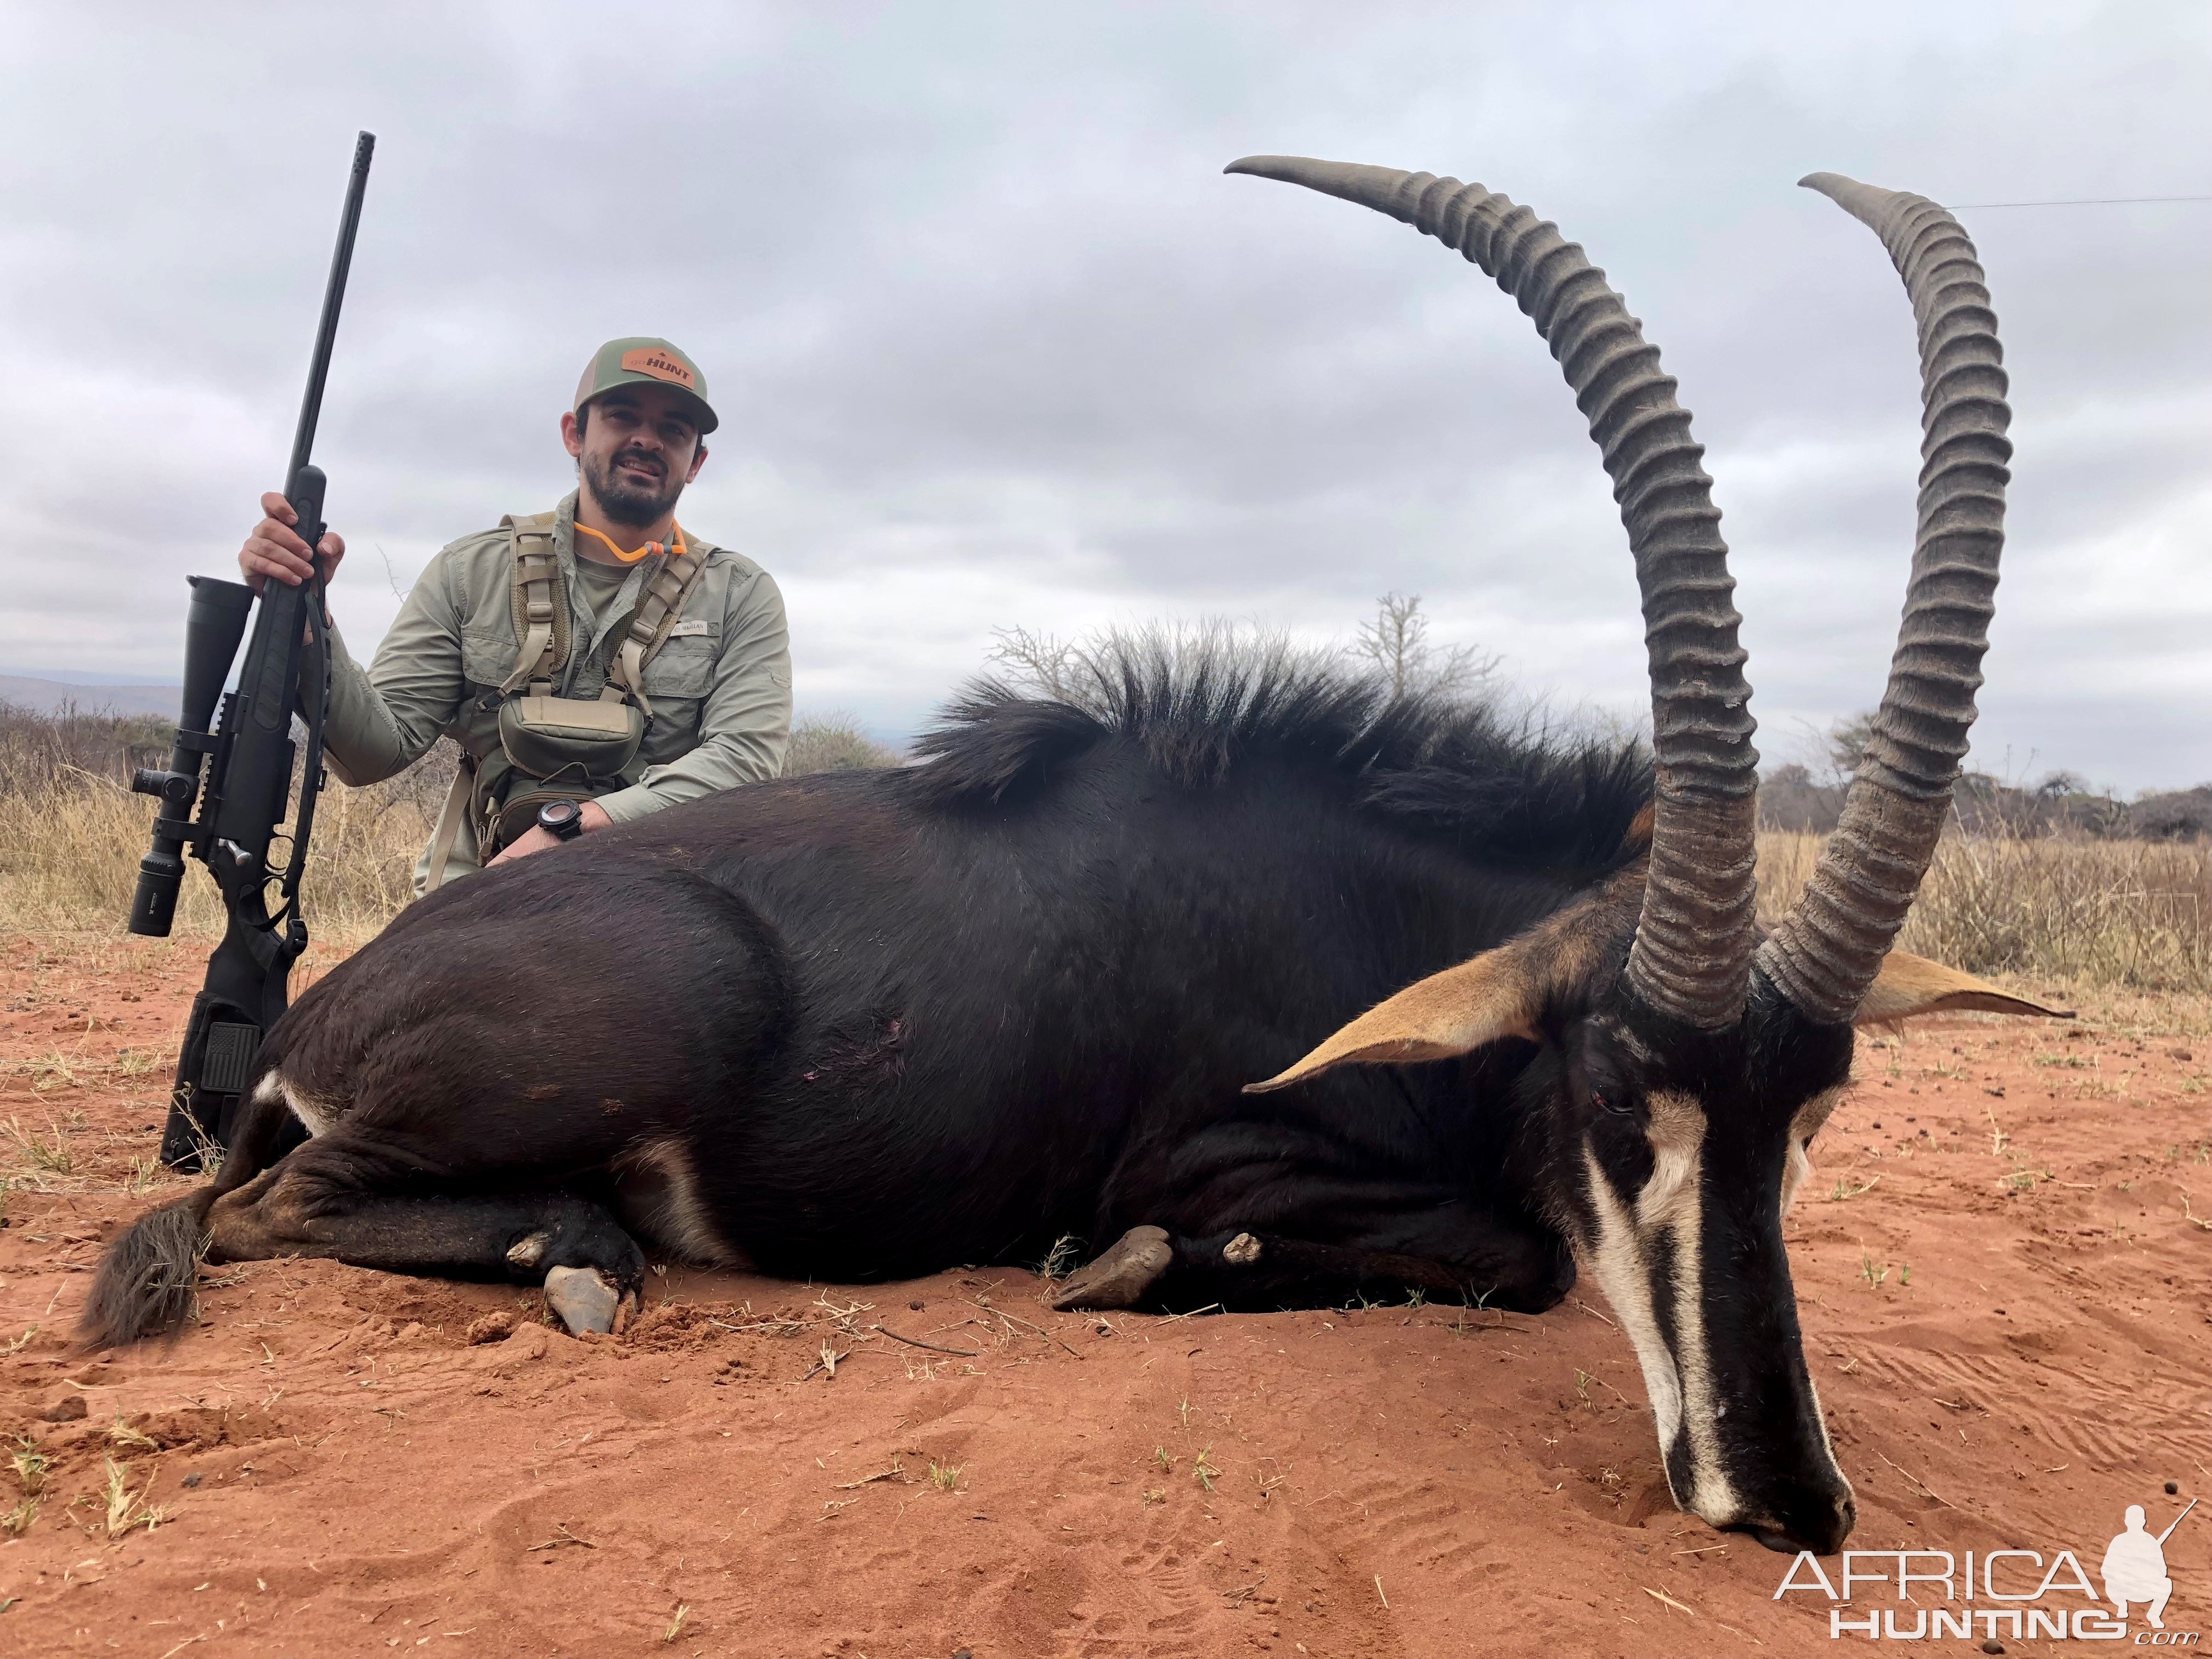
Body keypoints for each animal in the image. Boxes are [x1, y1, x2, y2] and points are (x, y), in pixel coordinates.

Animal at [91, 156, 2052, 1557]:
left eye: (1817, 1110)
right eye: (1615, 1097)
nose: (1786, 1500)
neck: (1359, 908)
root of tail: (310, 1022)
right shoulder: (1212, 1152)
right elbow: (1516, 1254)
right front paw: (1130, 1269)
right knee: (271, 1210)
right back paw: (575, 1247)